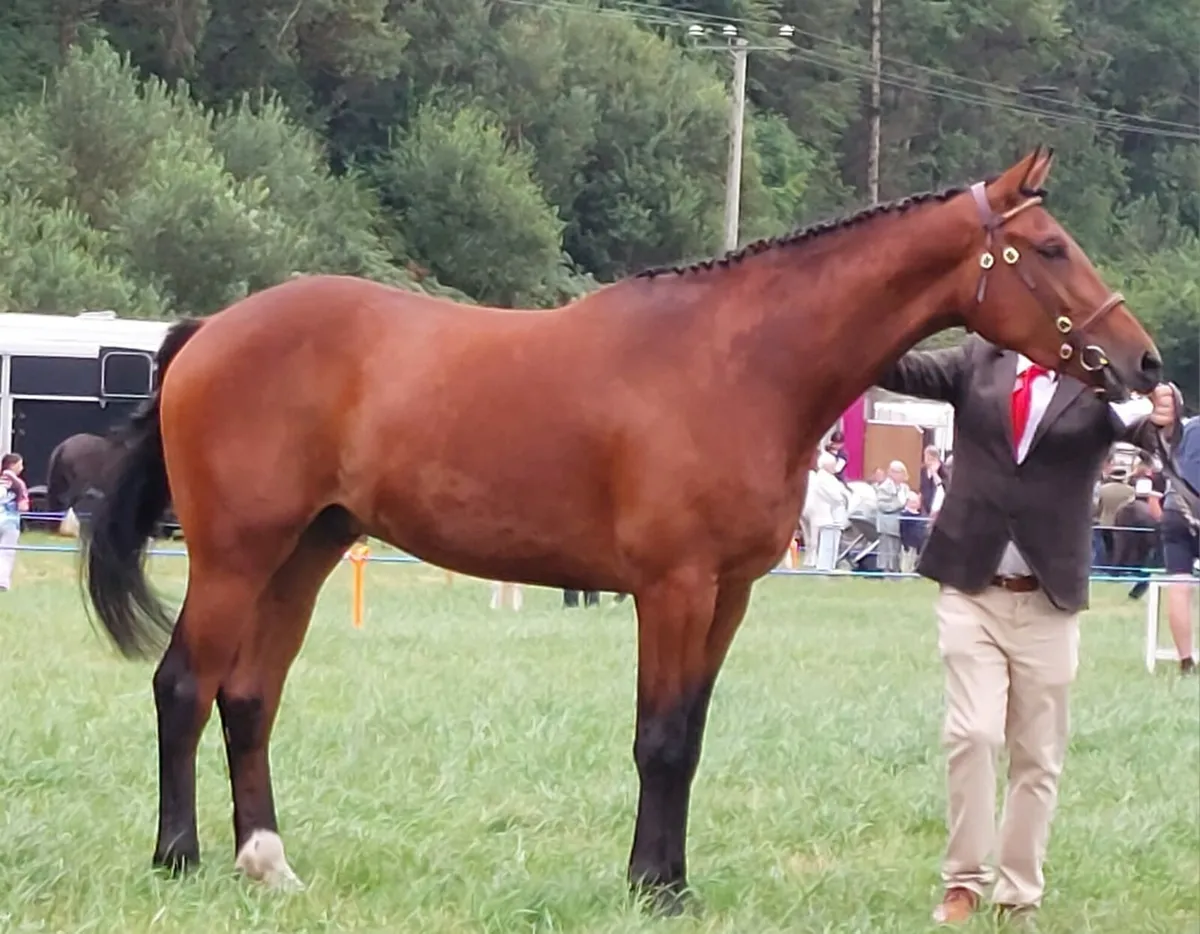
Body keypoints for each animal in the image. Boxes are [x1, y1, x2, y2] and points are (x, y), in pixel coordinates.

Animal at [79, 147, 1162, 912]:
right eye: (1052, 248)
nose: (1144, 363)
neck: (739, 365)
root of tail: (210, 331)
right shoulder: (673, 587)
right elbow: (662, 740)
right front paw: (656, 887)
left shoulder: (729, 595)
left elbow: (691, 731)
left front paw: (669, 875)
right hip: (235, 554)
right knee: (184, 685)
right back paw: (178, 857)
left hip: (304, 554)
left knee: (249, 697)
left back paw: (266, 861)